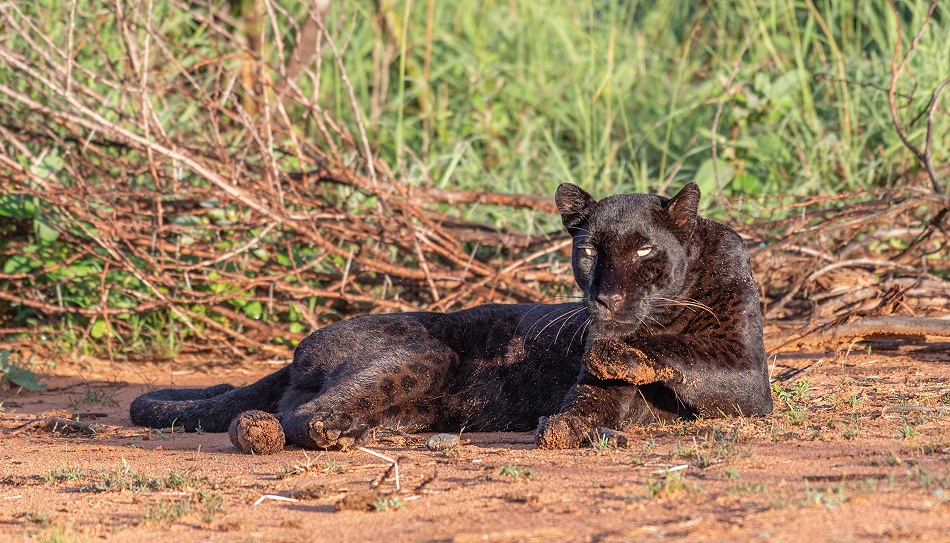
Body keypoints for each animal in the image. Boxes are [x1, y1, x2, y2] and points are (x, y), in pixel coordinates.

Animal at [129, 181, 772, 452]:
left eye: (643, 251)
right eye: (590, 250)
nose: (606, 299)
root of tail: (302, 347)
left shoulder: (749, 376)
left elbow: (688, 355)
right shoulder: (596, 383)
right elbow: (596, 393)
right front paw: (570, 417)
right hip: (423, 352)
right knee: (300, 416)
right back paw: (307, 434)